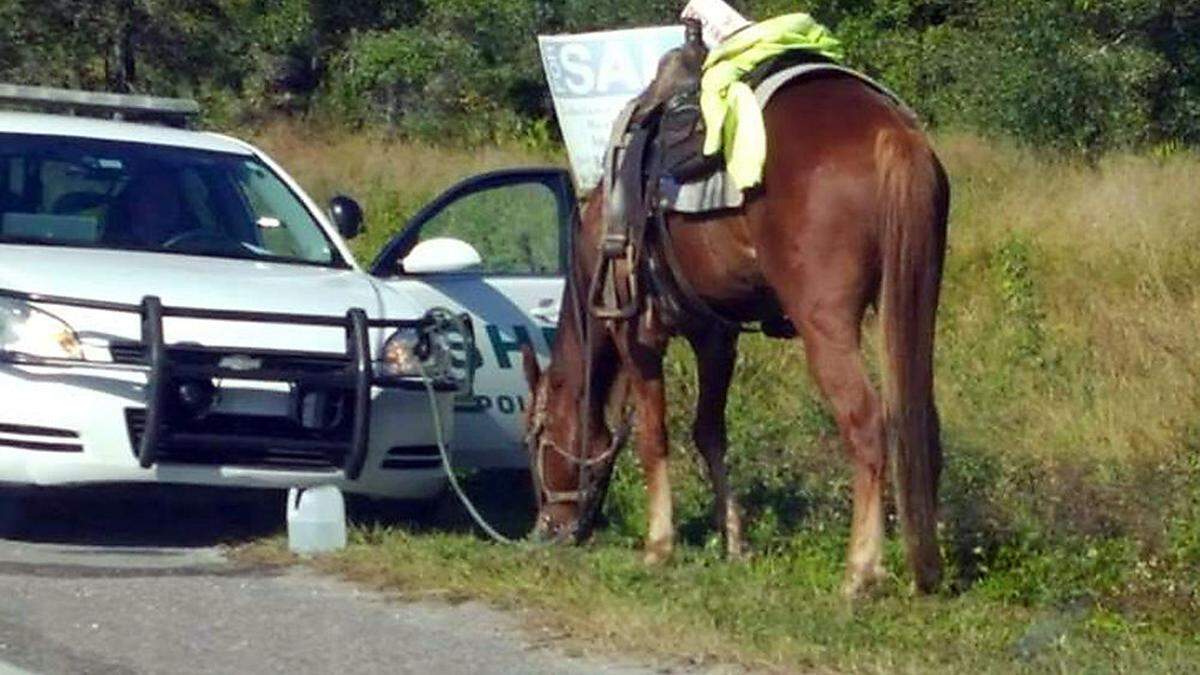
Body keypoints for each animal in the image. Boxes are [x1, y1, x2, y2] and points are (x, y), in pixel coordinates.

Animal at [520, 70, 950, 590]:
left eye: (535, 439)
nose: (545, 530)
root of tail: (892, 132)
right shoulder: (716, 337)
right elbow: (709, 432)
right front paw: (734, 543)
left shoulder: (637, 336)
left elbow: (652, 435)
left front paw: (659, 545)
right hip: (911, 303)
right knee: (921, 421)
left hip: (825, 324)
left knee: (866, 423)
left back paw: (859, 570)